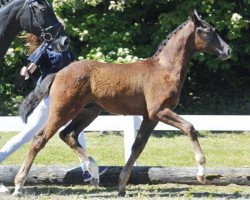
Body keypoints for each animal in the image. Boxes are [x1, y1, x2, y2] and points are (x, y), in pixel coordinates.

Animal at [14, 10, 230, 196]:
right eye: (207, 30)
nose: (227, 50)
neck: (165, 68)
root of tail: (58, 73)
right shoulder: (159, 111)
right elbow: (189, 128)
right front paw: (201, 173)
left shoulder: (150, 117)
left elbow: (137, 147)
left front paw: (121, 186)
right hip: (63, 111)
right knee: (40, 138)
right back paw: (18, 185)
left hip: (89, 112)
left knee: (68, 135)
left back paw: (94, 173)